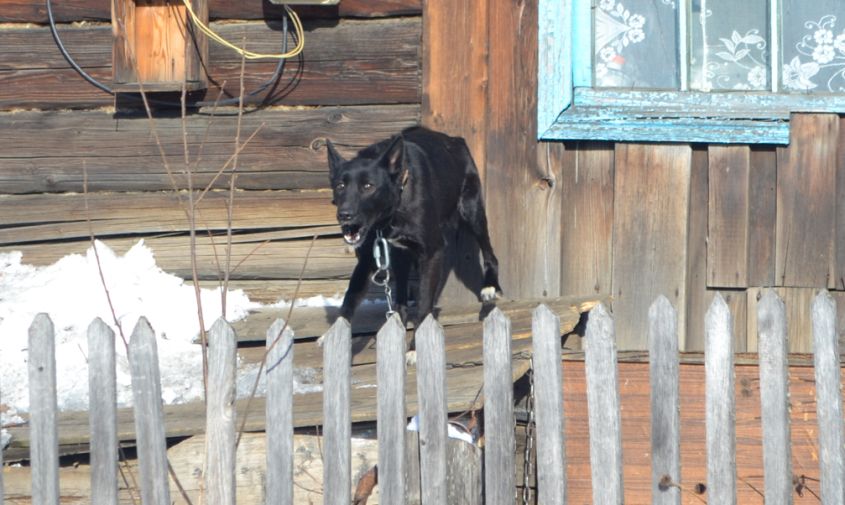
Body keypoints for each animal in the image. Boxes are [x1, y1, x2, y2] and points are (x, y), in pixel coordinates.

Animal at [326, 124, 502, 324]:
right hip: (401, 254)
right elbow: (350, 298)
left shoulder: (433, 251)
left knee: (489, 253)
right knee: (402, 288)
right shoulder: (367, 258)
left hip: (472, 212)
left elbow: (424, 306)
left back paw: (490, 287)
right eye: (340, 186)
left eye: (368, 186)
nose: (344, 215)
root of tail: (456, 140)